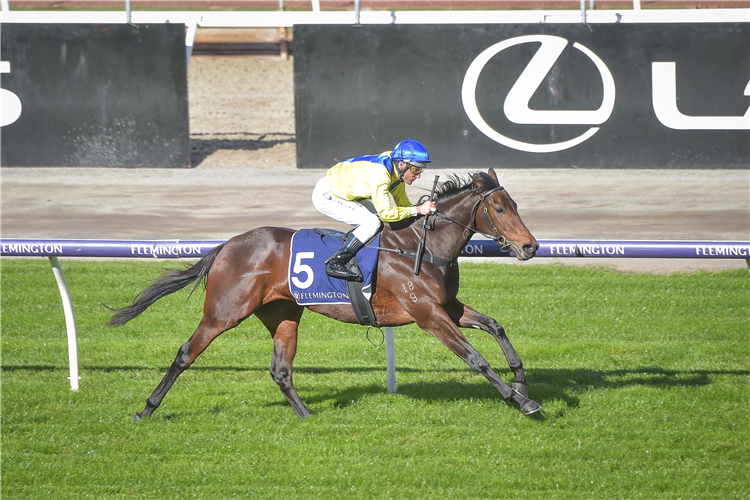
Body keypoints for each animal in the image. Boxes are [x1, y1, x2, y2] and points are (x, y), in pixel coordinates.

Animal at [110, 168, 540, 418]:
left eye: (516, 204)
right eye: (500, 209)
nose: (530, 246)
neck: (421, 245)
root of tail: (227, 245)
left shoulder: (447, 306)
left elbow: (496, 327)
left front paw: (521, 381)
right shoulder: (428, 315)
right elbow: (475, 358)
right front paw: (521, 401)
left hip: (283, 313)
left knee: (281, 371)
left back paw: (306, 417)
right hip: (223, 313)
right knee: (186, 353)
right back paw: (146, 410)